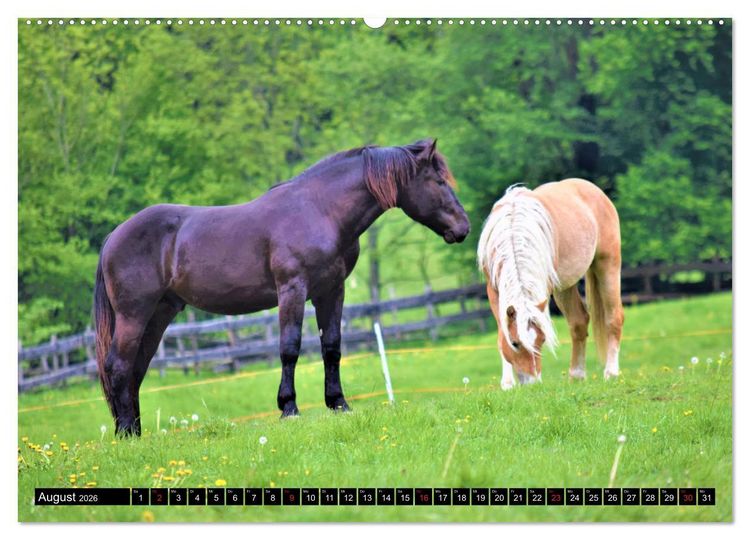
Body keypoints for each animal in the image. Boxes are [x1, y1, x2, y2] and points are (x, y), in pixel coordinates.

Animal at [93, 139, 469, 436]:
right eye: (438, 180)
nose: (463, 227)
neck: (320, 210)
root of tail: (113, 237)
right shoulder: (293, 290)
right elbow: (290, 347)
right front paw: (289, 408)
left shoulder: (331, 291)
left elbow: (332, 346)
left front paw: (339, 404)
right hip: (134, 315)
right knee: (118, 365)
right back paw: (126, 432)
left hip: (159, 314)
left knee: (136, 369)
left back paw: (135, 430)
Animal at [477, 179, 624, 389]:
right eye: (515, 343)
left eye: (542, 340)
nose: (533, 384)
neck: (513, 232)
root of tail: (593, 189)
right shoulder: (493, 290)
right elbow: (501, 334)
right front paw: (507, 384)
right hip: (565, 287)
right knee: (579, 322)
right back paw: (576, 375)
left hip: (607, 264)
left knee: (613, 318)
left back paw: (611, 372)